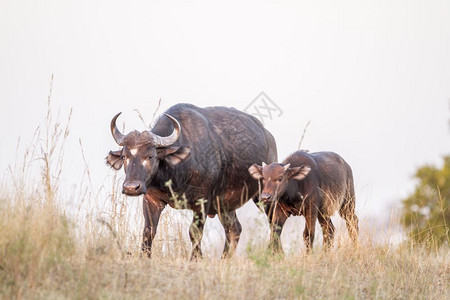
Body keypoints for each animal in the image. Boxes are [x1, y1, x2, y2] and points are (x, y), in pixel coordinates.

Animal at [108, 103, 278, 258]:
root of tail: (269, 137)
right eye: (124, 156)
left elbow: (194, 232)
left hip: (264, 196)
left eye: (150, 156)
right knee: (234, 230)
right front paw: (145, 257)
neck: (175, 174)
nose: (131, 187)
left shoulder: (202, 202)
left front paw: (195, 259)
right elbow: (148, 231)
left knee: (274, 221)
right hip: (224, 205)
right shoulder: (151, 199)